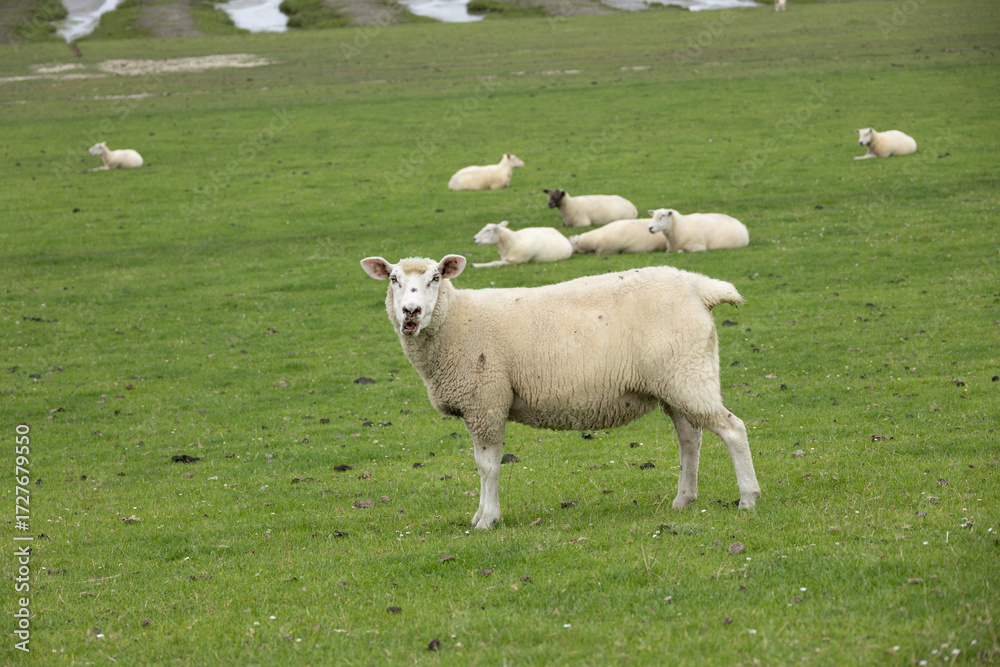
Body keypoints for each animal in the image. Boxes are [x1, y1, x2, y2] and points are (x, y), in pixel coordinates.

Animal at [360, 254, 761, 530]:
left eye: (436, 277)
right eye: (393, 279)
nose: (411, 312)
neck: (456, 320)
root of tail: (700, 287)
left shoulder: (486, 402)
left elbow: (488, 466)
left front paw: (487, 519)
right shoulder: (482, 405)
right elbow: (482, 465)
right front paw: (480, 516)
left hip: (687, 374)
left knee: (732, 429)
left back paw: (748, 498)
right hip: (676, 380)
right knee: (690, 438)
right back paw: (683, 500)